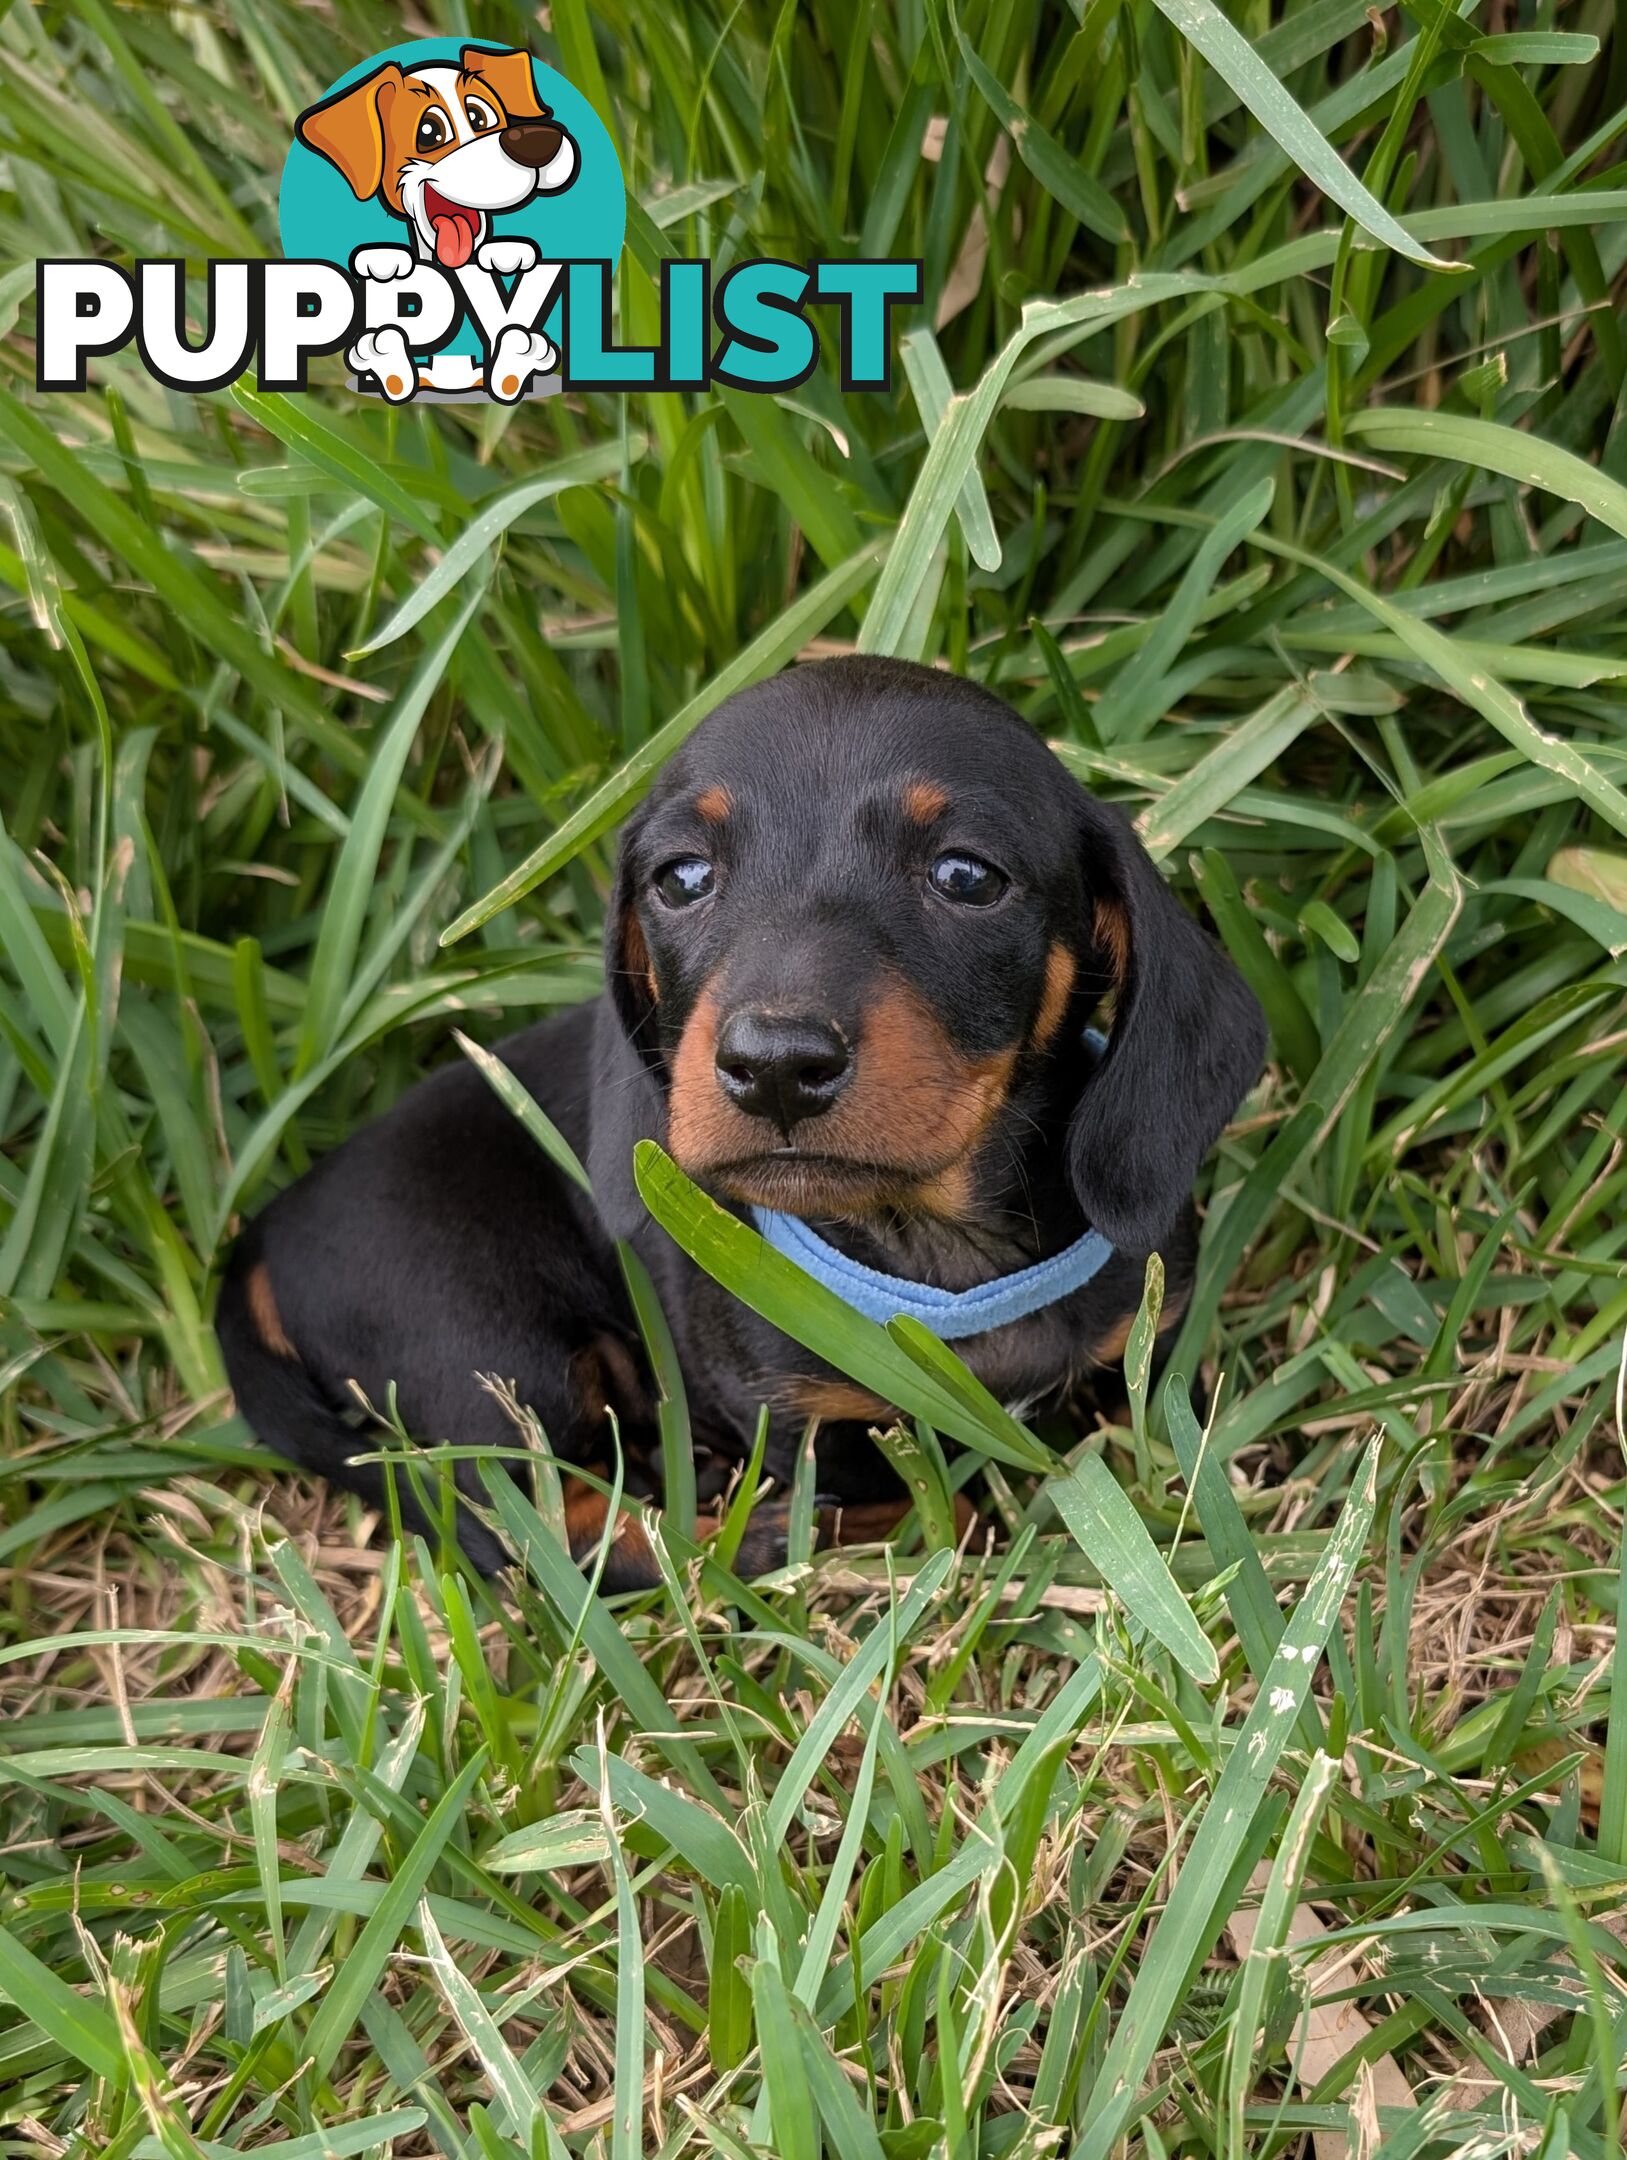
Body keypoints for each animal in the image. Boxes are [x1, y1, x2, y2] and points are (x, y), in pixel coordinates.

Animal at [216, 648, 1261, 1581]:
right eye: (681, 878)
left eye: (966, 875)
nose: (775, 1068)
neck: (934, 1260)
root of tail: (265, 1232)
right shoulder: (807, 1419)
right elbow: (927, 1501)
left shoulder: (1143, 1342)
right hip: (482, 1341)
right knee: (522, 1529)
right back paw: (729, 1544)